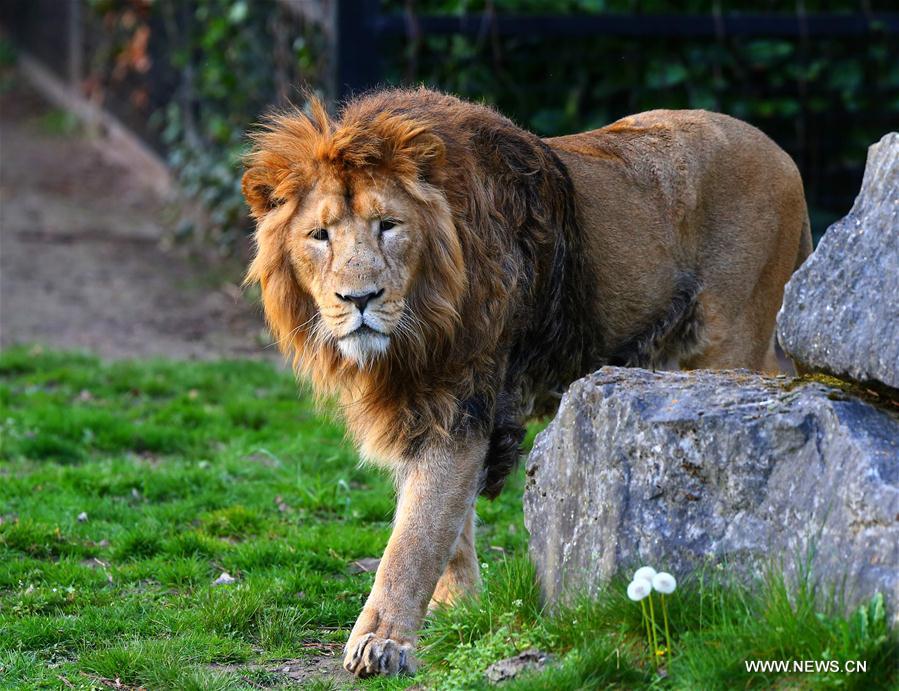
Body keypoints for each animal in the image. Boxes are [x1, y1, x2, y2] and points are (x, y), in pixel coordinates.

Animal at [243, 85, 812, 676]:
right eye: (319, 236)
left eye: (388, 225)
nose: (359, 299)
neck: (414, 335)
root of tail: (781, 154)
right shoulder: (419, 410)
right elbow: (447, 527)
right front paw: (461, 614)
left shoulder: (462, 403)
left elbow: (415, 538)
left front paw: (382, 642)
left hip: (732, 342)